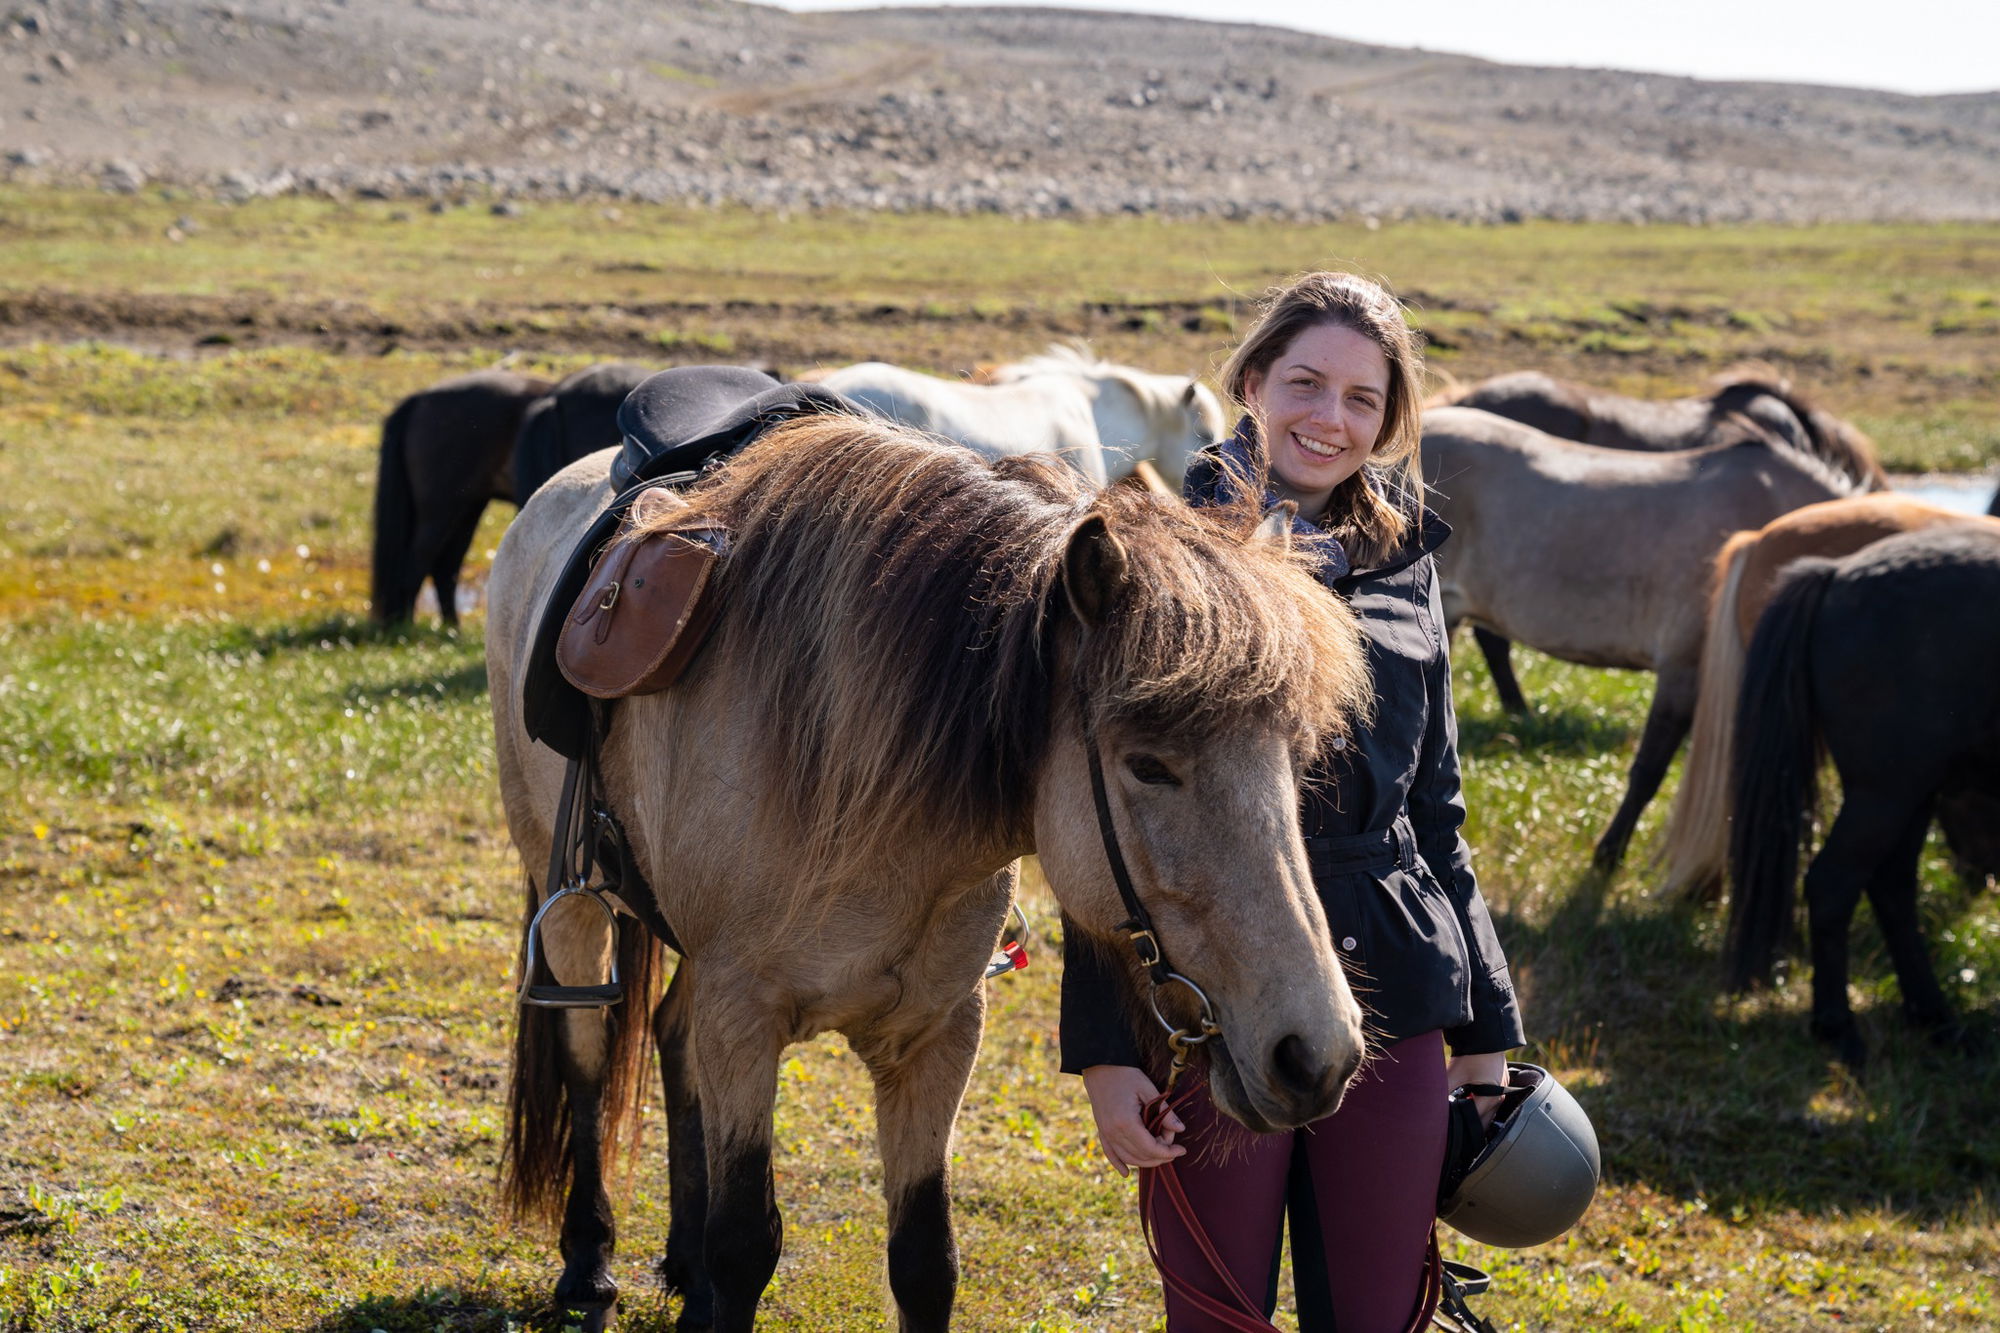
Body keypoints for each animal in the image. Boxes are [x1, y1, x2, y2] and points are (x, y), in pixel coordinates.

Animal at [370, 368, 552, 625]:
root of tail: (419, 398)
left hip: (468, 507)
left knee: (445, 569)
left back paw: (451, 627)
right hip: (440, 510)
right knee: (415, 567)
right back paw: (406, 626)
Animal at [485, 413, 1372, 1330]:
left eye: (1298, 754)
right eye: (1149, 764)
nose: (1318, 1053)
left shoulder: (939, 1035)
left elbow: (923, 1260)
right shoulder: (745, 1019)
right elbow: (745, 1244)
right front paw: (688, 1264)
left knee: (668, 1035)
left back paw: (680, 1266)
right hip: (572, 907)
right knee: (586, 1057)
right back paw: (589, 1261)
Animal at [1727, 524, 2000, 1066]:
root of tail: (1837, 573)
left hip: (1913, 793)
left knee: (1891, 887)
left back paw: (1935, 1018)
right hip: (1886, 792)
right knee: (1834, 885)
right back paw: (1839, 1029)